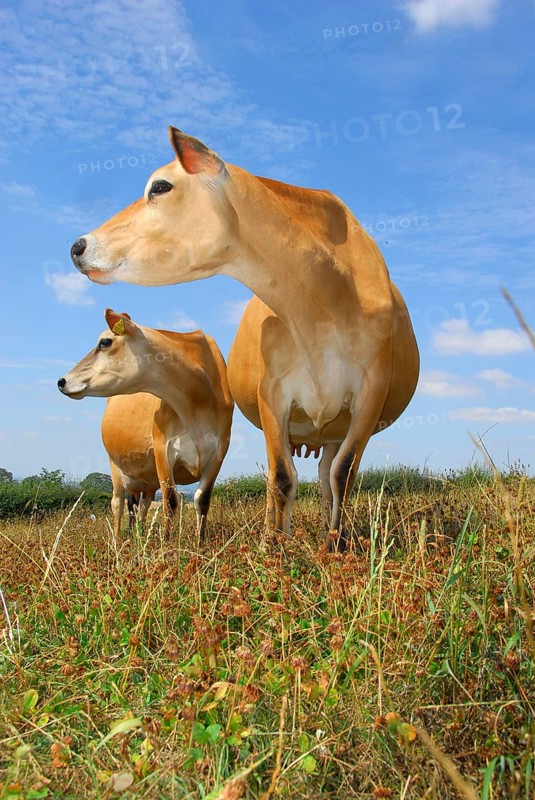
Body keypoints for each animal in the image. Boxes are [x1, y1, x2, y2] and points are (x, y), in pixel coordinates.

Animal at [58, 309, 234, 537]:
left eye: (105, 342)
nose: (62, 381)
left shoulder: (219, 451)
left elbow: (202, 501)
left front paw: (199, 542)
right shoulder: (163, 449)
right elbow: (170, 501)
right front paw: (167, 543)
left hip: (146, 481)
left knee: (140, 506)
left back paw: (139, 536)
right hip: (114, 465)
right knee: (118, 504)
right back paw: (117, 541)